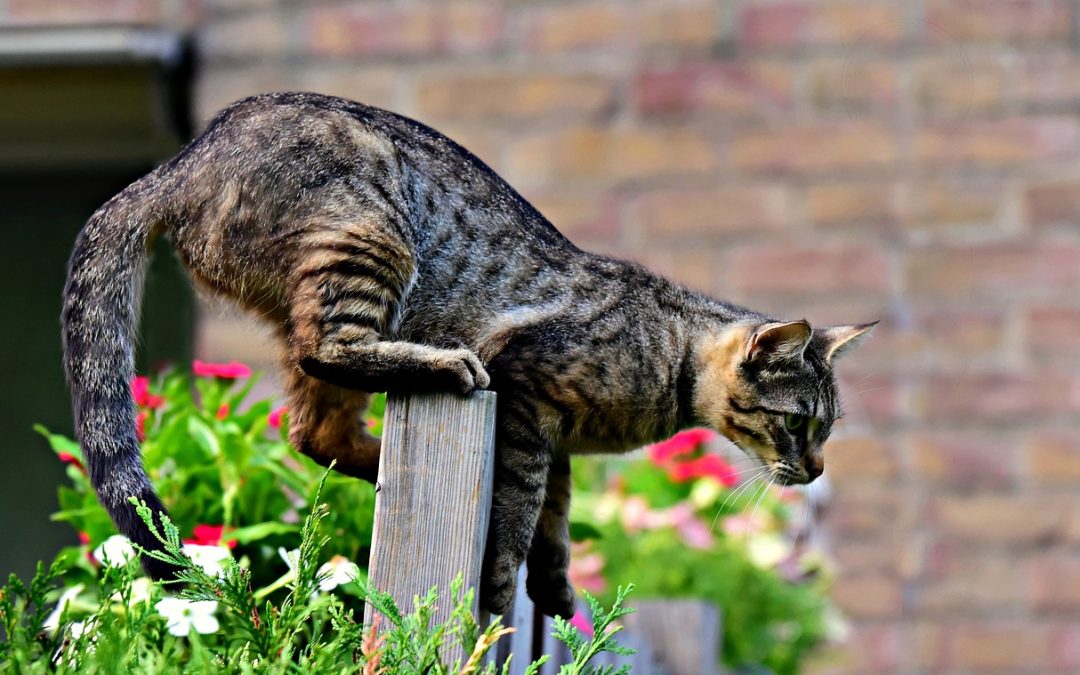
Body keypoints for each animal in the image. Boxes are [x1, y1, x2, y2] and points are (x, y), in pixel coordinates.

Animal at [61, 92, 876, 617]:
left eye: (826, 430)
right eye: (799, 424)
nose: (816, 470)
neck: (667, 358)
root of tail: (179, 163)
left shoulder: (555, 440)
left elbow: (555, 517)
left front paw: (555, 587)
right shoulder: (527, 399)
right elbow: (518, 513)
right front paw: (501, 587)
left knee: (313, 430)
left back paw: (381, 464)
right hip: (368, 238)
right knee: (332, 353)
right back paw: (445, 367)